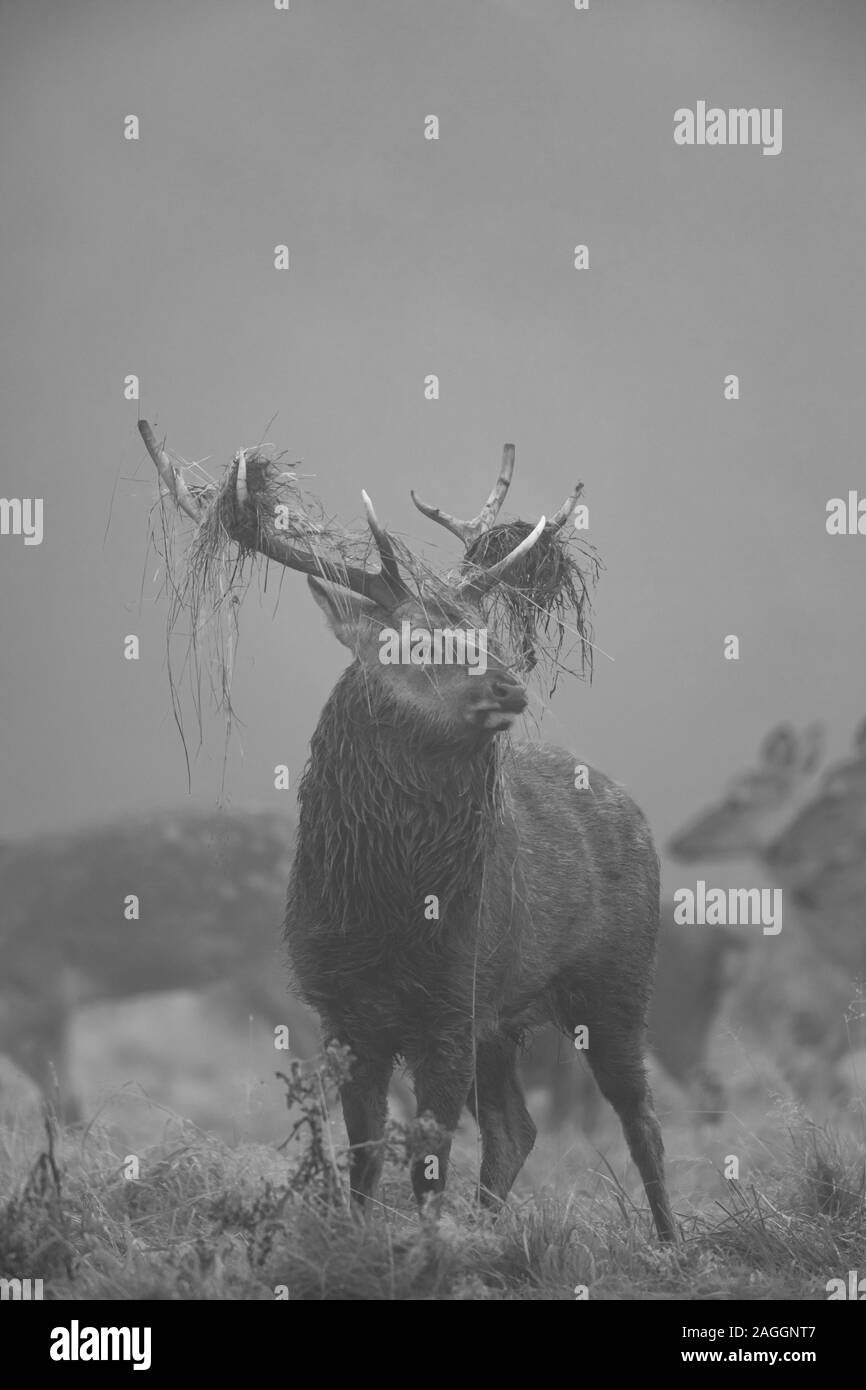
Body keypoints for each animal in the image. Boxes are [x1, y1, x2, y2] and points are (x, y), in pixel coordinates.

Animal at [143, 430, 677, 1241]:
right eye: (415, 641)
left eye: (484, 631)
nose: (511, 684)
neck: (388, 911)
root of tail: (635, 808)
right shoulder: (339, 1009)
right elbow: (365, 1155)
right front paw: (365, 1236)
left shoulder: (450, 1003)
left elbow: (428, 1158)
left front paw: (426, 1246)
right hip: (504, 1016)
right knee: (517, 1128)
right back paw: (489, 1230)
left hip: (618, 979)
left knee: (639, 1114)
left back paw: (672, 1242)